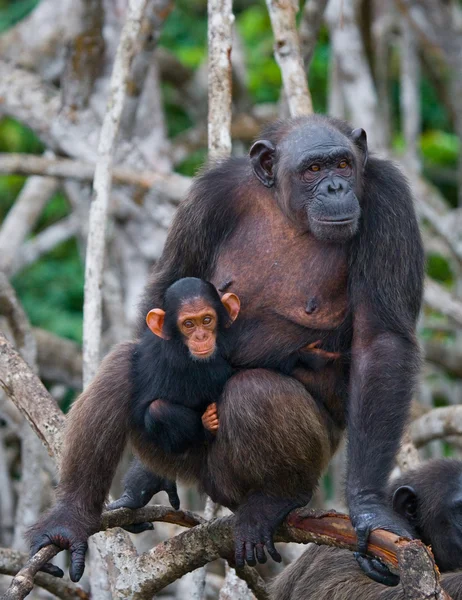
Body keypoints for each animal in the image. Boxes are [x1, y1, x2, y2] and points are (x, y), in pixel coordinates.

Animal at [130, 278, 238, 452]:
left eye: (207, 320)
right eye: (188, 324)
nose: (201, 336)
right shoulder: (201, 368)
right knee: (158, 410)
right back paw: (207, 428)